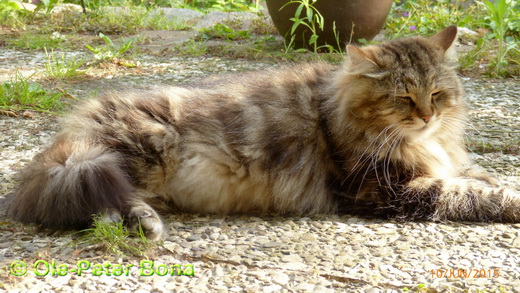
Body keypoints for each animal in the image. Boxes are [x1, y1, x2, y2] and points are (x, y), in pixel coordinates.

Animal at [6, 25, 516, 240]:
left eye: (438, 95)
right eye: (404, 99)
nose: (428, 117)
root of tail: (75, 125)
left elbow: (477, 177)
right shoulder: (388, 189)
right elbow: (475, 195)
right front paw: (508, 200)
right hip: (129, 155)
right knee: (102, 201)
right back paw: (140, 223)